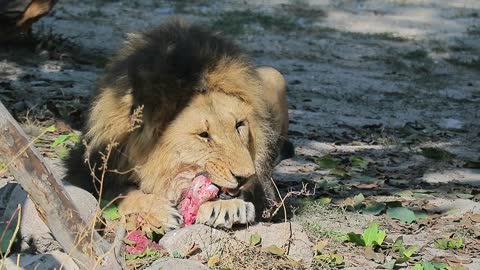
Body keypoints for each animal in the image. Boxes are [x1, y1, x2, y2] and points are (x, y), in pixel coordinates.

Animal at [66, 19, 294, 230]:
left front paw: (227, 207)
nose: (246, 176)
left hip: (273, 74)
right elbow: (119, 193)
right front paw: (157, 210)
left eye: (239, 125)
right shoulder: (86, 170)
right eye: (203, 135)